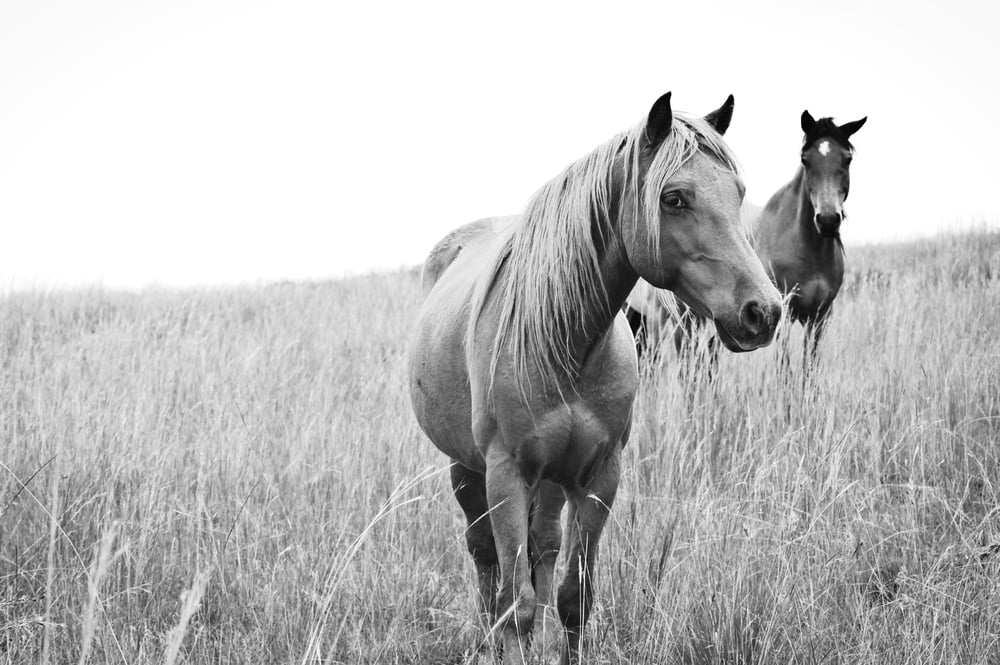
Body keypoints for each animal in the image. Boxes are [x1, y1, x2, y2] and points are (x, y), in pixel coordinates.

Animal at [406, 93, 780, 664]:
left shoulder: (599, 475)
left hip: (552, 479)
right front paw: (513, 642)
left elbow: (571, 598)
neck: (565, 341)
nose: (763, 311)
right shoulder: (505, 474)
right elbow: (516, 604)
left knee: (542, 548)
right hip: (465, 469)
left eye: (738, 193)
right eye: (673, 198)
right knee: (484, 557)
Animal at [628, 109, 864, 368]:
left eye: (847, 159)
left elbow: (809, 370)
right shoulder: (784, 315)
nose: (828, 220)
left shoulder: (819, 319)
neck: (809, 251)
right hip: (672, 322)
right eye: (805, 159)